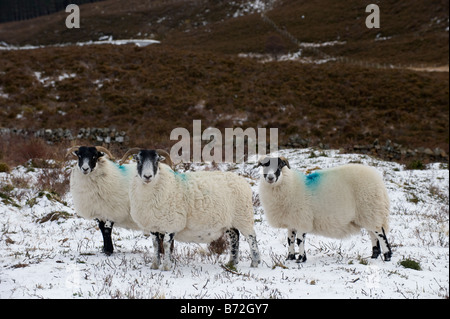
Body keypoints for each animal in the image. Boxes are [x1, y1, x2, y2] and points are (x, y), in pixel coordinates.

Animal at [119, 149, 260, 272]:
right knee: (235, 237)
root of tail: (242, 180)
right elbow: (155, 244)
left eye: (157, 161)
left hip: (243, 216)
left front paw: (166, 267)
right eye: (138, 160)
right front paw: (154, 265)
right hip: (230, 221)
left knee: (251, 238)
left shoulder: (171, 223)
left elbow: (166, 245)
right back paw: (231, 262)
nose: (147, 176)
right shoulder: (153, 225)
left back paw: (254, 263)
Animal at [258, 156, 392, 264]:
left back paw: (387, 256)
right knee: (373, 234)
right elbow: (290, 240)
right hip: (368, 214)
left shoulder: (303, 218)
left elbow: (299, 240)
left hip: (371, 208)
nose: (270, 177)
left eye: (280, 166)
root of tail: (378, 179)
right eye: (264, 166)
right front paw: (290, 258)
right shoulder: (292, 221)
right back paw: (374, 256)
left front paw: (301, 259)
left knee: (380, 234)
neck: (291, 185)